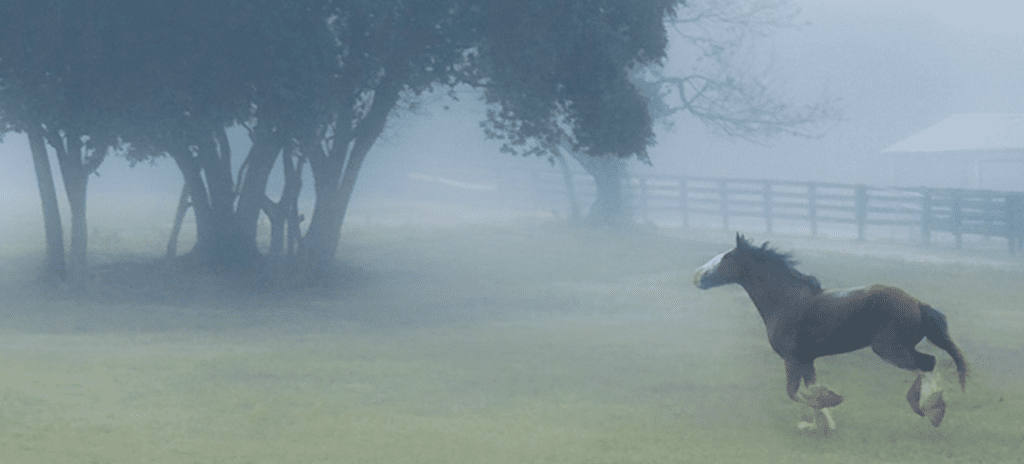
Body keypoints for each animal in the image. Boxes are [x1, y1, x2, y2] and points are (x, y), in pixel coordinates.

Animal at [692, 233, 962, 432]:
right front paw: (821, 424)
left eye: (727, 258)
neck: (786, 302)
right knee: (927, 364)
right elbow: (811, 388)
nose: (696, 276)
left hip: (890, 350)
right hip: (897, 349)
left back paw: (933, 409)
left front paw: (828, 406)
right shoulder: (806, 359)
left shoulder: (792, 359)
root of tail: (917, 303)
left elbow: (794, 393)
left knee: (927, 363)